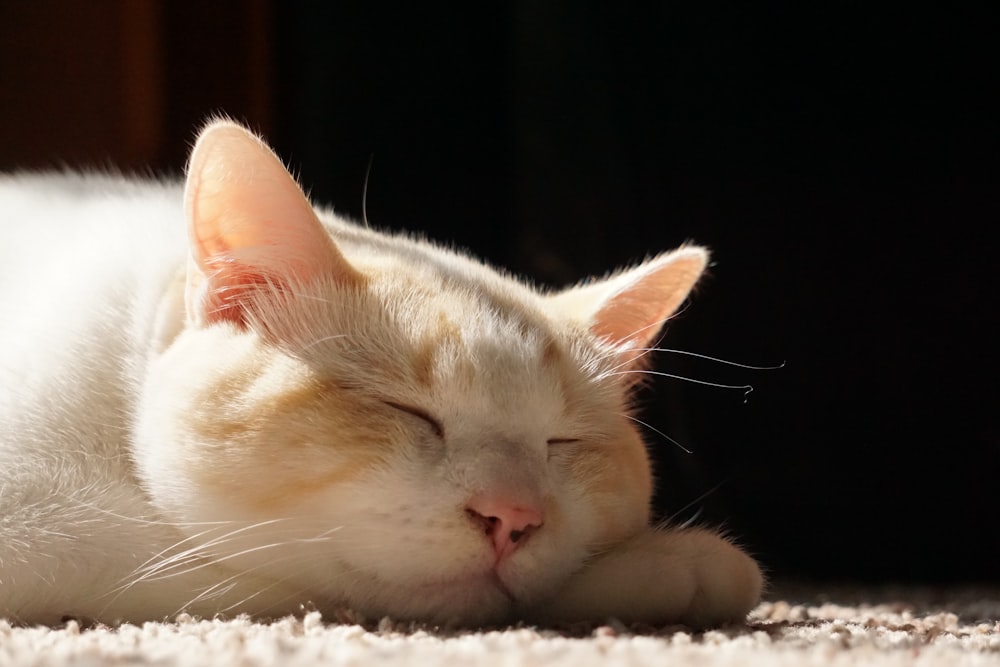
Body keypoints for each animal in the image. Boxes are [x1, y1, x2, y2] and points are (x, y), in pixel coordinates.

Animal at [0, 118, 760, 628]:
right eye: (407, 411)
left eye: (563, 442)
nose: (514, 518)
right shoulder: (54, 518)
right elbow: (227, 565)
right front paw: (666, 561)